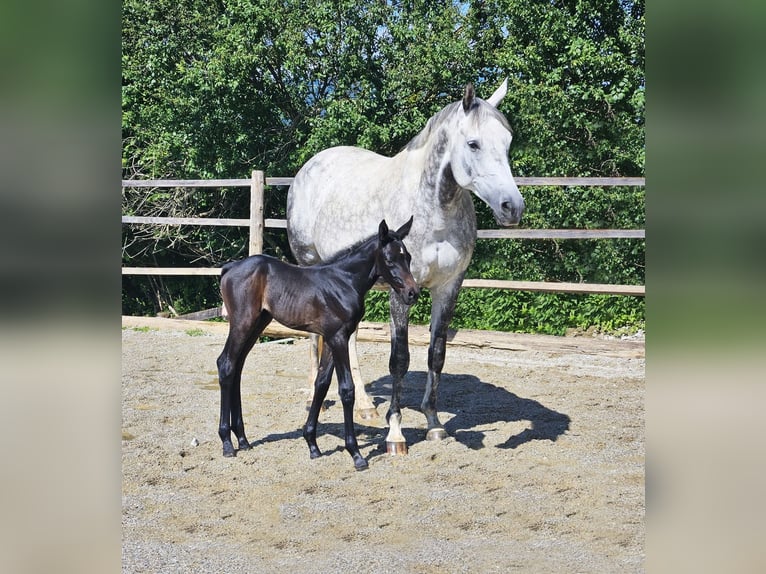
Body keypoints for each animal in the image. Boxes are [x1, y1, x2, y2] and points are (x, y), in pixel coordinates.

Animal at [288, 80, 528, 454]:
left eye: (507, 143)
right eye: (473, 144)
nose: (512, 207)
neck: (433, 211)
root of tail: (310, 166)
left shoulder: (449, 287)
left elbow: (436, 354)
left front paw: (434, 423)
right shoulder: (401, 291)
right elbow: (399, 359)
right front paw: (395, 433)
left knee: (349, 338)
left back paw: (366, 406)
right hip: (312, 267)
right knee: (317, 336)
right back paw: (320, 394)